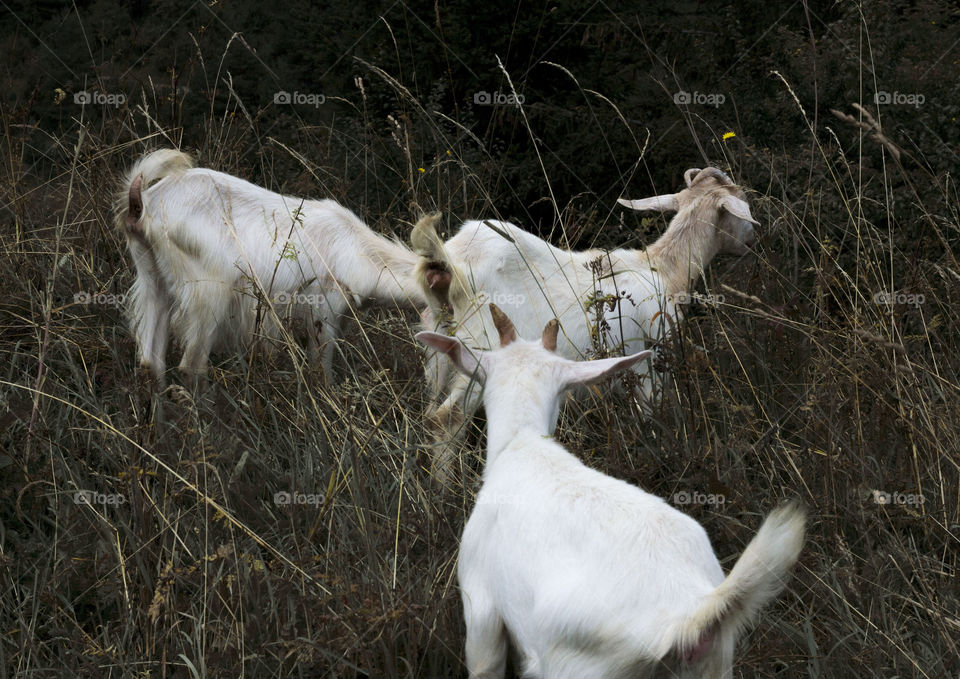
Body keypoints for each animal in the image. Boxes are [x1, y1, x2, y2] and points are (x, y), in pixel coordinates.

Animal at [116, 149, 424, 382]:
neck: (358, 249)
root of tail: (142, 205)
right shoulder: (323, 309)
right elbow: (321, 370)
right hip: (208, 294)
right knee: (191, 366)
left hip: (153, 281)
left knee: (150, 364)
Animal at [408, 167, 760, 480]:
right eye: (742, 200)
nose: (752, 240)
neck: (662, 268)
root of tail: (450, 269)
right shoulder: (651, 360)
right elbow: (651, 416)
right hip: (482, 353)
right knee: (447, 418)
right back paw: (447, 493)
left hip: (436, 354)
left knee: (430, 414)